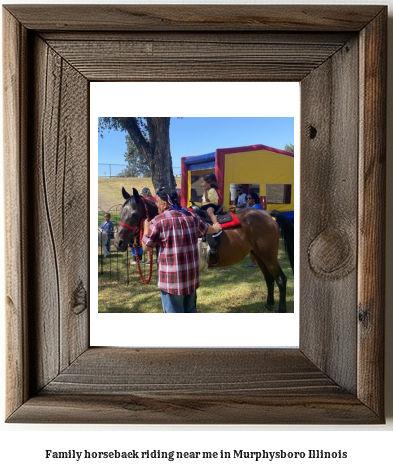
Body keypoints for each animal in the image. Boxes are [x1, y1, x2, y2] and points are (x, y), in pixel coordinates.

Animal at [113, 187, 290, 312]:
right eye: (121, 212)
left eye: (134, 214)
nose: (118, 242)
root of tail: (267, 214)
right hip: (259, 255)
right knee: (269, 279)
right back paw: (269, 304)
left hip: (269, 256)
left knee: (281, 279)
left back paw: (281, 309)